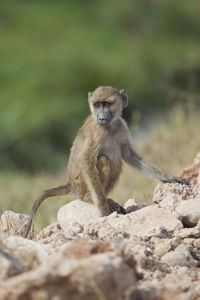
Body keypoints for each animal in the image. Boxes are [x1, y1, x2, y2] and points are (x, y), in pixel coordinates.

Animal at [22, 85, 188, 238]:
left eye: (107, 104)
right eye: (97, 105)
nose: (101, 118)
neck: (110, 126)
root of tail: (70, 183)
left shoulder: (122, 126)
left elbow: (130, 155)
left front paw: (169, 177)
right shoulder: (97, 132)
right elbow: (86, 160)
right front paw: (103, 209)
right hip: (81, 184)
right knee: (103, 160)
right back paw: (93, 199)